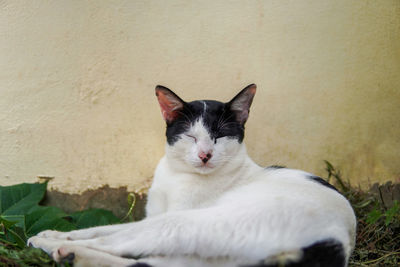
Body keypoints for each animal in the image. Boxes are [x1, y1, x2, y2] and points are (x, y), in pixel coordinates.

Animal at [28, 84, 356, 267]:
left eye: (219, 137)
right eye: (190, 136)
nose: (205, 155)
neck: (176, 175)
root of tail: (336, 241)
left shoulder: (167, 217)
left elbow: (107, 233)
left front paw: (53, 237)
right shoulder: (152, 215)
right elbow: (99, 227)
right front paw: (55, 232)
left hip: (189, 224)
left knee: (122, 247)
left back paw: (57, 249)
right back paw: (65, 251)